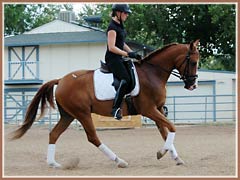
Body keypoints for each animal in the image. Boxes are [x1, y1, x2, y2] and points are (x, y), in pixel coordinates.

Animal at [11, 39, 200, 167]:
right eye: (193, 62)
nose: (193, 85)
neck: (152, 73)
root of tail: (61, 80)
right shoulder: (149, 110)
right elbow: (172, 127)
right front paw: (161, 153)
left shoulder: (158, 109)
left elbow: (165, 132)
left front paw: (176, 158)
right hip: (82, 114)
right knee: (93, 137)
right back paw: (119, 160)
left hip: (68, 115)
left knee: (54, 134)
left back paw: (54, 164)